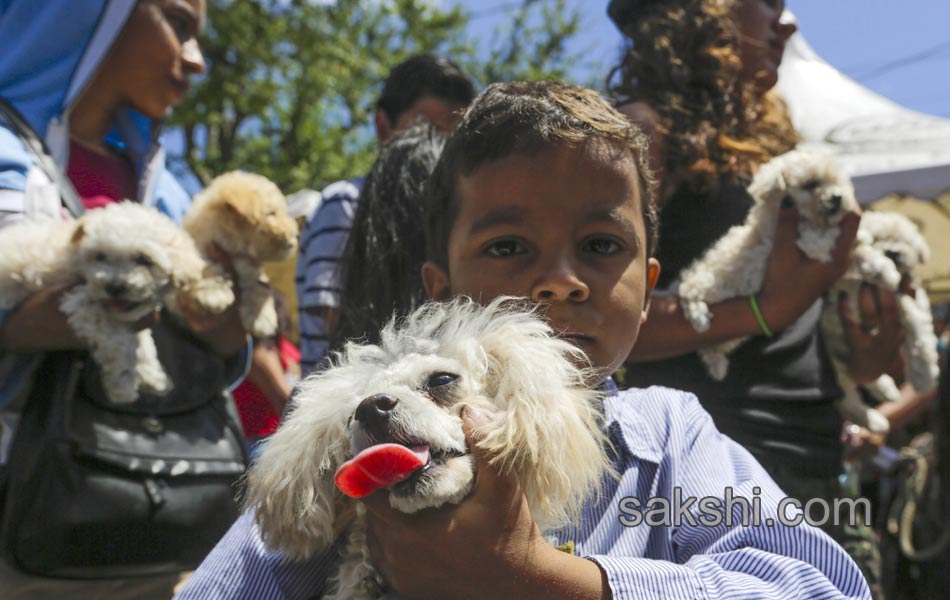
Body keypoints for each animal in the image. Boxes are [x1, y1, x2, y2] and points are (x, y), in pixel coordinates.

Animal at [0, 204, 234, 406]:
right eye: (100, 256)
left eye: (144, 259)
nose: (114, 287)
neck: (76, 259)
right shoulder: (81, 302)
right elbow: (122, 343)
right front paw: (123, 383)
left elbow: (142, 340)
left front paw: (152, 373)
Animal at [180, 171, 296, 338]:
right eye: (271, 213)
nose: (295, 235)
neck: (235, 250)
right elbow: (204, 265)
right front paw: (213, 292)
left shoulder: (252, 270)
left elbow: (259, 287)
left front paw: (261, 318)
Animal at [680, 149, 860, 380]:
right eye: (810, 185)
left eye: (835, 181)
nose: (837, 197)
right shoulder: (795, 240)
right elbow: (818, 241)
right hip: (711, 285)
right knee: (688, 290)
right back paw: (700, 318)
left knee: (709, 348)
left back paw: (717, 365)